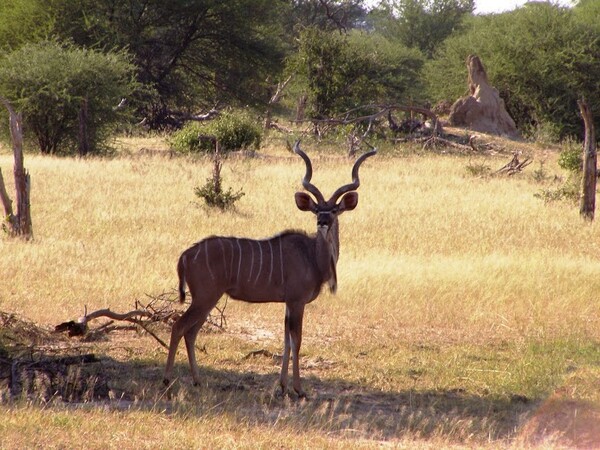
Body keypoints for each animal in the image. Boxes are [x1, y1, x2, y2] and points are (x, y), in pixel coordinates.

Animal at [164, 142, 376, 398]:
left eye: (334, 210)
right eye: (317, 210)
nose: (323, 222)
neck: (312, 256)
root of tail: (186, 255)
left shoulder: (288, 304)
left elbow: (286, 341)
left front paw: (282, 386)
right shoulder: (297, 301)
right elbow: (297, 340)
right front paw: (298, 389)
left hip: (206, 300)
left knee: (191, 332)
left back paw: (198, 381)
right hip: (205, 297)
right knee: (178, 326)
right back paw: (167, 380)